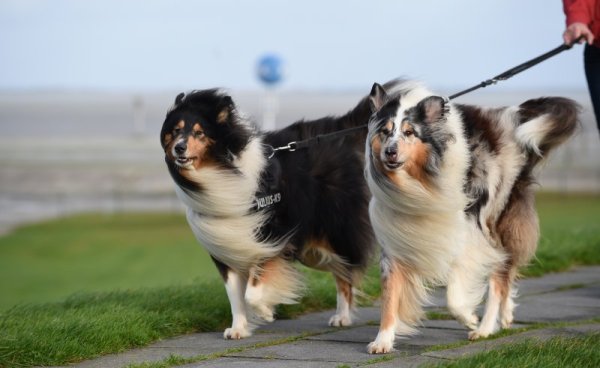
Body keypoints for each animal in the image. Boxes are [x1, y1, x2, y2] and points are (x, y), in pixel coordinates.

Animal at [159, 87, 382, 338]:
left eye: (199, 133)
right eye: (175, 130)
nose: (179, 147)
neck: (221, 170)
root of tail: (339, 129)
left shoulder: (271, 238)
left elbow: (252, 291)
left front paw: (265, 311)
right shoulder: (226, 246)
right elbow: (235, 296)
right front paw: (238, 328)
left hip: (335, 233)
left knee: (346, 271)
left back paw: (343, 317)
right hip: (312, 250)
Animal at [364, 81, 580, 354]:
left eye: (409, 132)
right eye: (385, 131)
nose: (390, 152)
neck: (421, 181)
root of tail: (511, 115)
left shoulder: (470, 234)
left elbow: (454, 295)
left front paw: (469, 317)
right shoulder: (396, 238)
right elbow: (390, 294)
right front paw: (382, 341)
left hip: (498, 219)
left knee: (499, 276)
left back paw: (485, 328)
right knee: (507, 273)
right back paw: (506, 316)